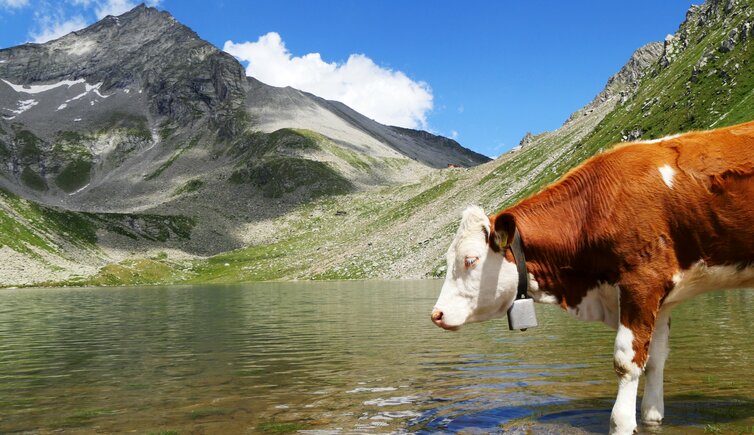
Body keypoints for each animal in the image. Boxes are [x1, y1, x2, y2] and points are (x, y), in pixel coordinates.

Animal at [428, 120, 752, 435]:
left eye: (470, 260)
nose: (436, 314)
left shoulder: (642, 282)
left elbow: (626, 362)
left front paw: (622, 422)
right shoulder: (662, 298)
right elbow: (654, 362)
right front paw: (652, 417)